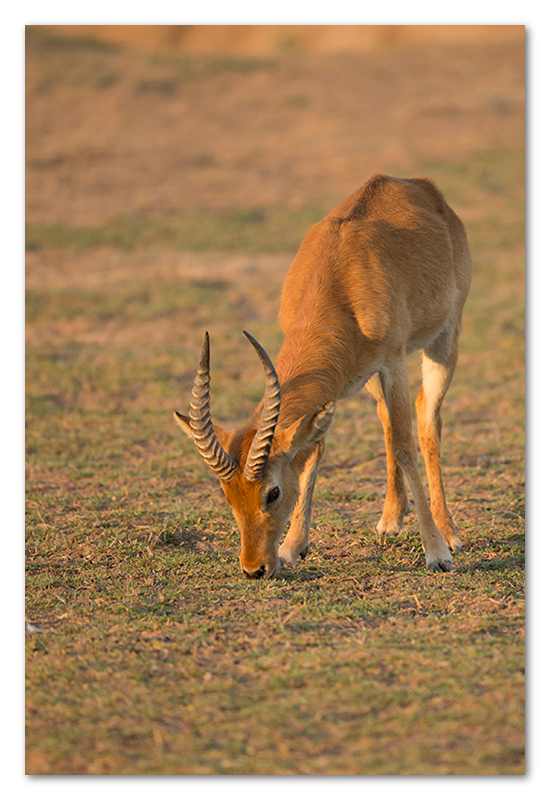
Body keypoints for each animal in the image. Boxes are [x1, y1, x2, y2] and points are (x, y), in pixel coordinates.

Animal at [177, 175, 474, 580]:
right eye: (228, 494)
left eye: (271, 492)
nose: (254, 569)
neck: (339, 278)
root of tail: (418, 184)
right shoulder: (335, 386)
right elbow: (315, 451)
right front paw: (292, 546)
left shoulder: (394, 362)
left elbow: (404, 445)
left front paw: (437, 554)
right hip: (367, 377)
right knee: (386, 419)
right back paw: (391, 519)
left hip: (444, 340)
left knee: (427, 416)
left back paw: (449, 533)